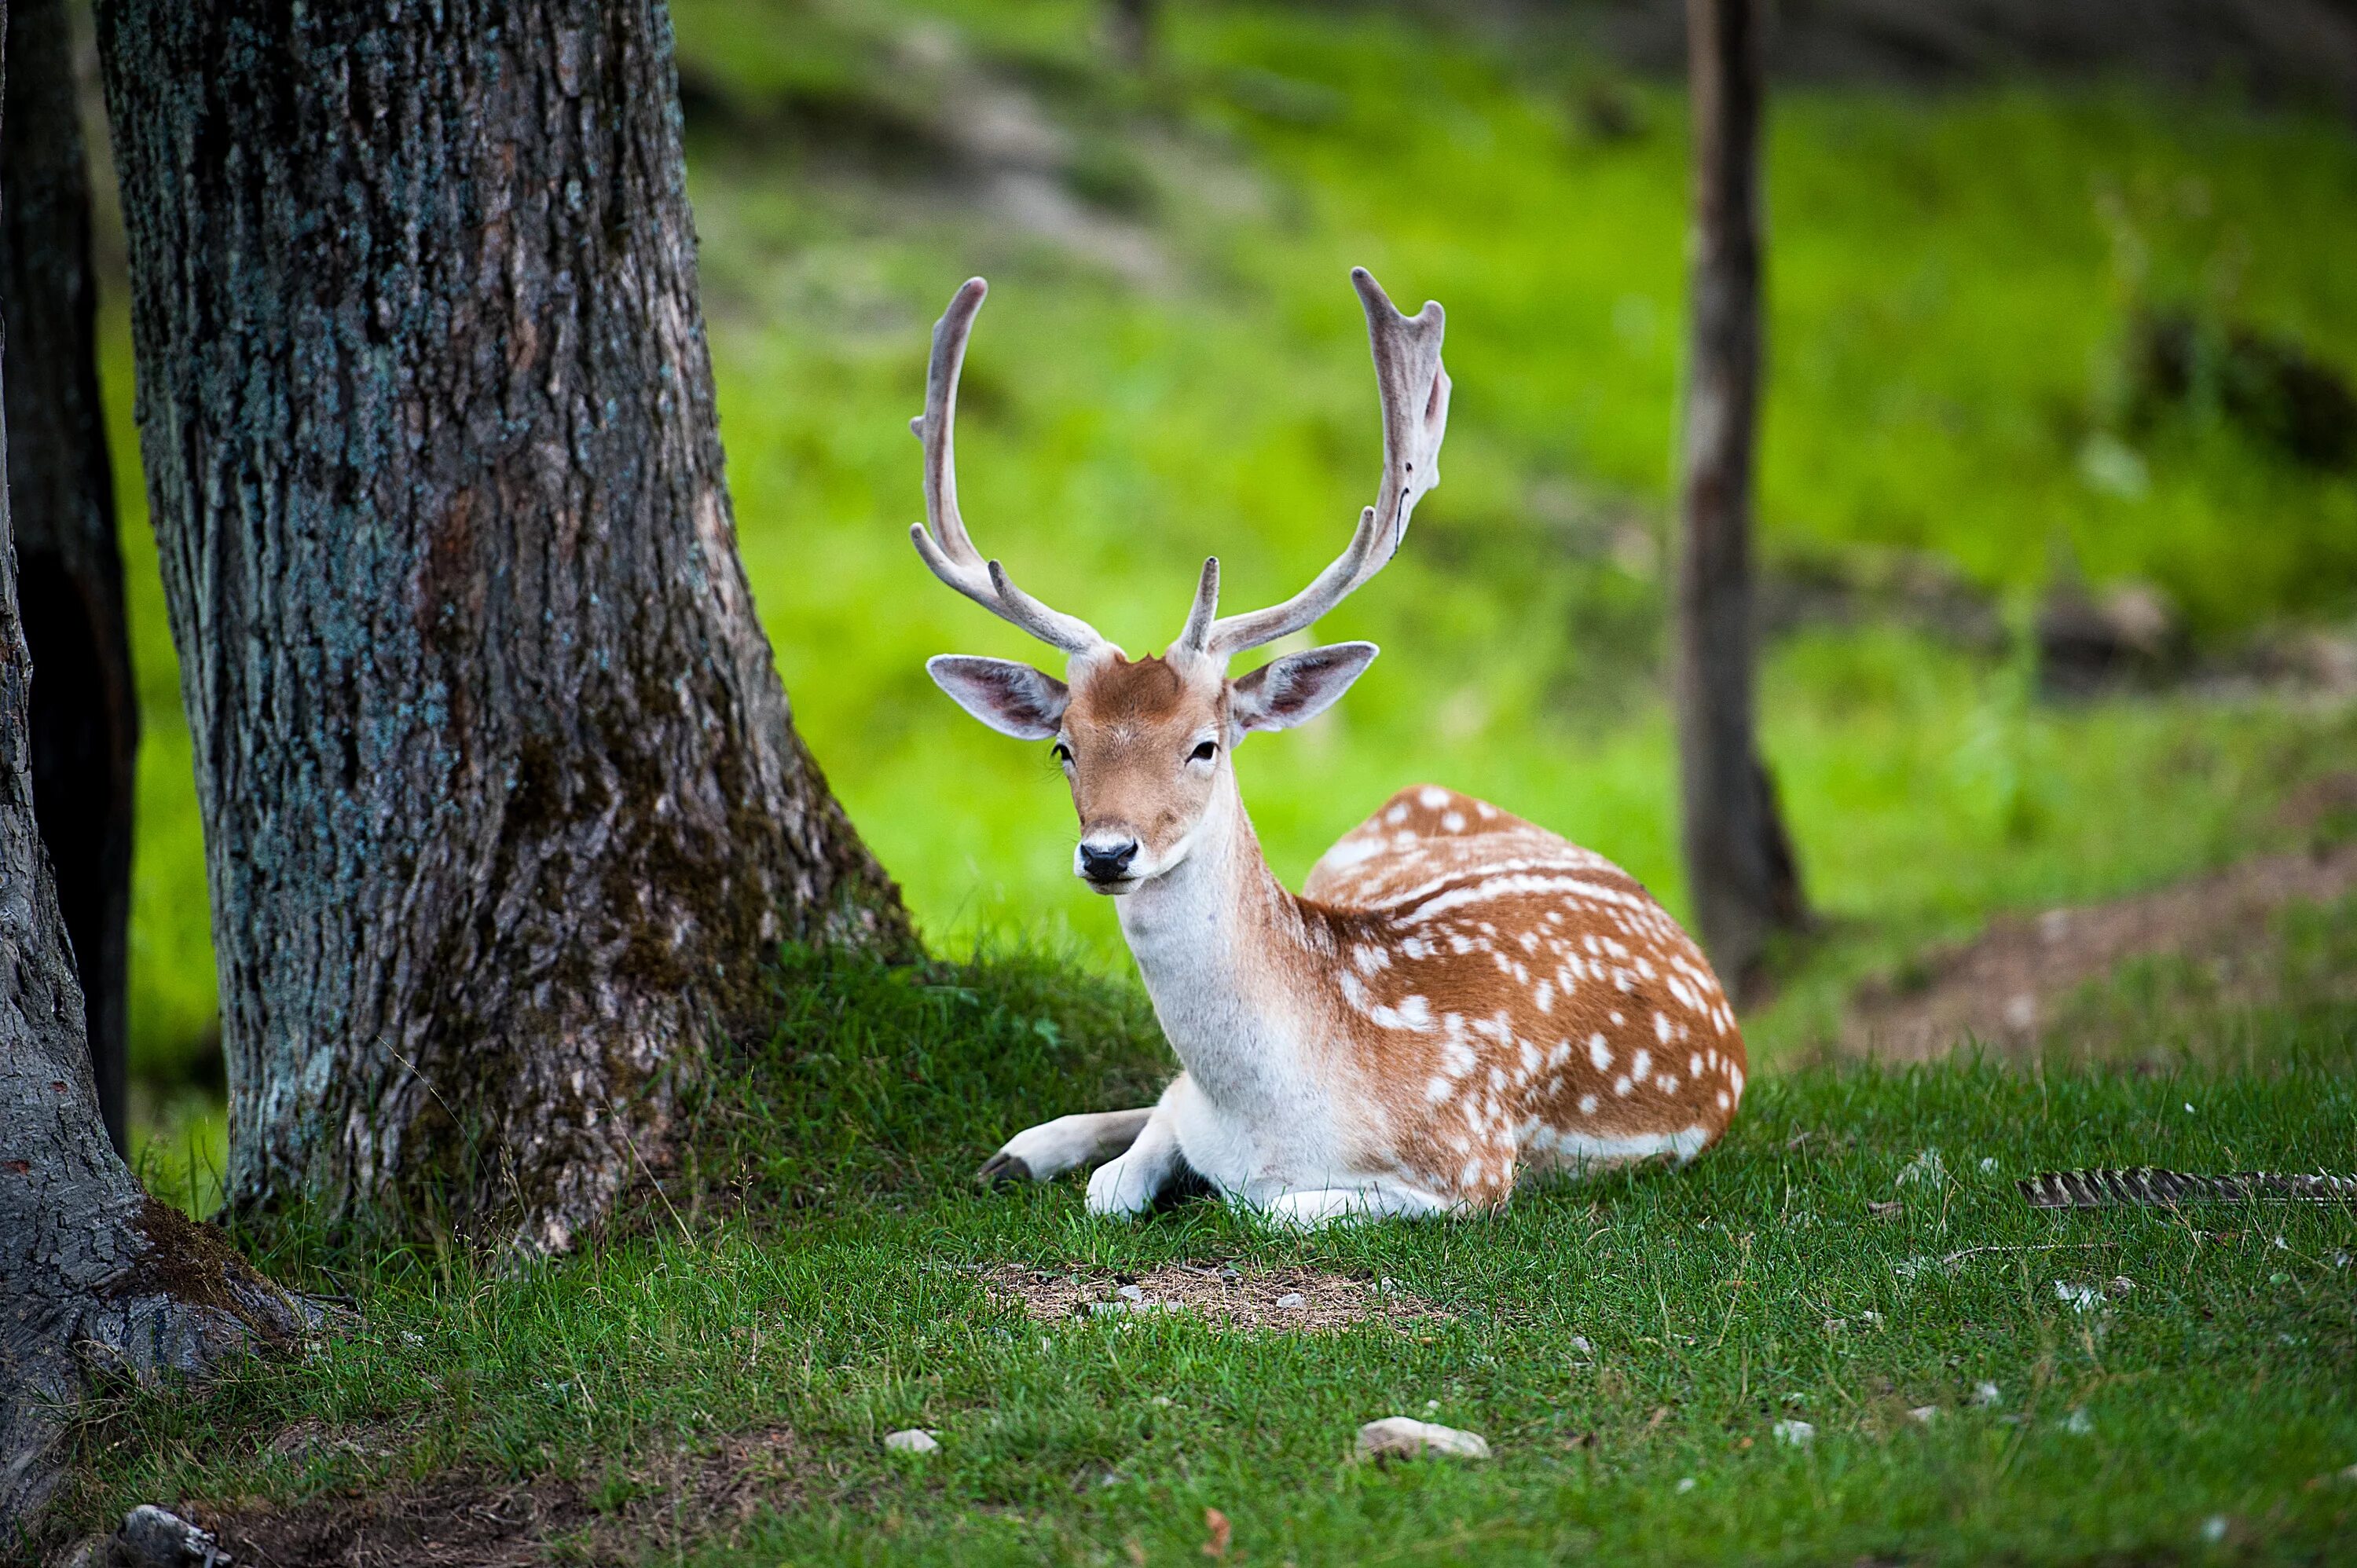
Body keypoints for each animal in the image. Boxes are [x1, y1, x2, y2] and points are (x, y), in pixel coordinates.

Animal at [910, 269, 1744, 1225]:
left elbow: (1262, 1206)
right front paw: (1058, 1155)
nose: (1109, 852)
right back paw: (1020, 1150)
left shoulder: (1472, 1167)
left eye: (1206, 746)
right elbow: (1117, 1180)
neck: (1272, 1111)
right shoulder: (1190, 1108)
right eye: (1065, 748)